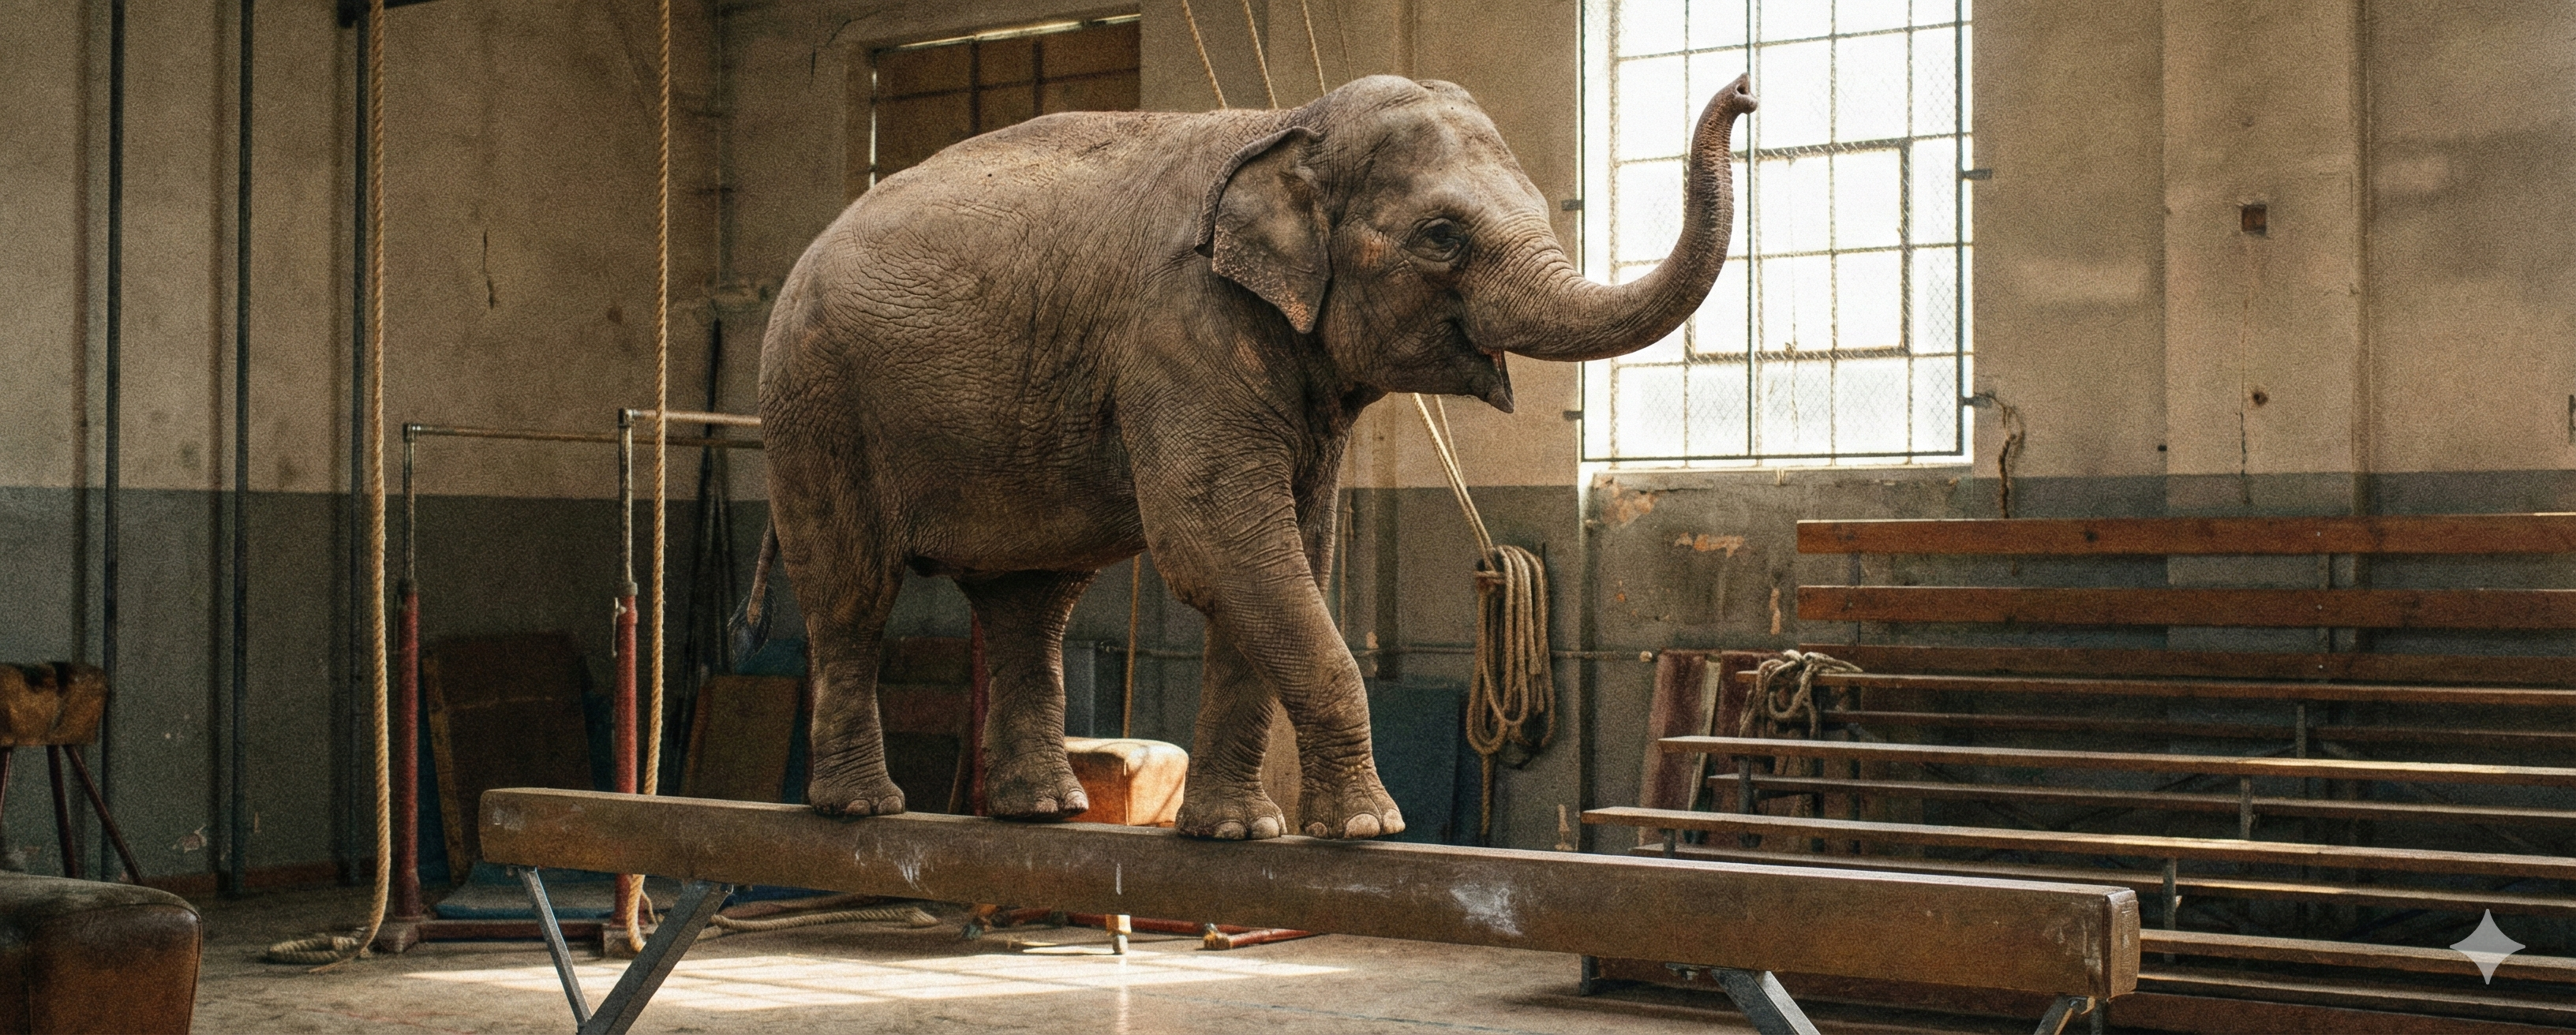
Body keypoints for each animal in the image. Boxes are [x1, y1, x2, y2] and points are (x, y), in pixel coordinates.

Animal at [757, 72, 1753, 840]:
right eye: (1440, 237)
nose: (1744, 92)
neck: (1291, 121)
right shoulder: (1181, 332)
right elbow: (1222, 546)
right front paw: (1370, 828)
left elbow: (1285, 554)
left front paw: (1240, 832)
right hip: (815, 406)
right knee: (851, 592)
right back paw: (864, 809)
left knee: (1028, 601)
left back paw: (1042, 812)